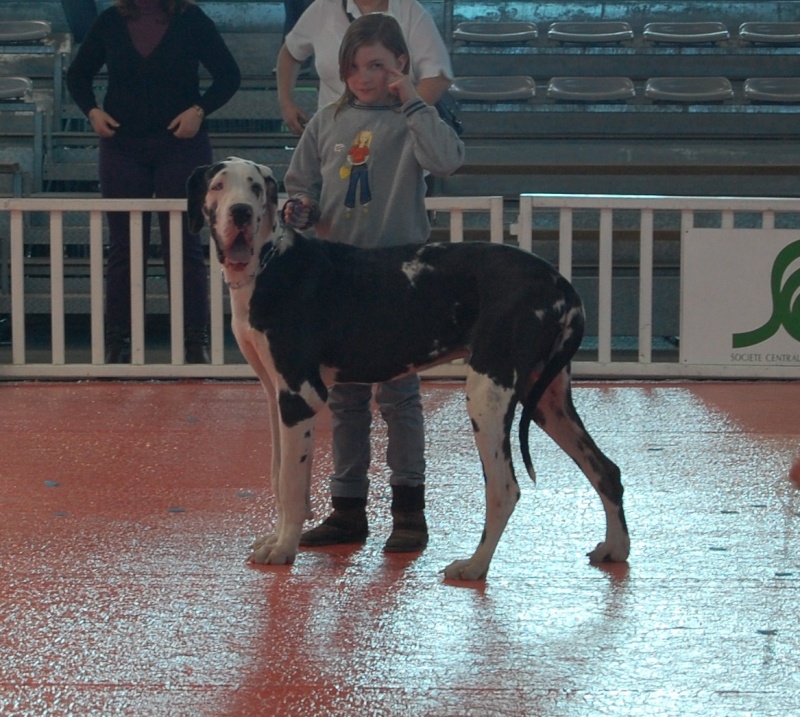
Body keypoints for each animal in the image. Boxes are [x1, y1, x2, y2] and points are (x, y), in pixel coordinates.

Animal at [188, 158, 632, 580]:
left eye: (255, 187)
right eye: (219, 185)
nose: (241, 212)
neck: (270, 263)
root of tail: (562, 285)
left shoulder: (300, 396)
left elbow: (291, 484)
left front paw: (284, 550)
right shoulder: (275, 396)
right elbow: (278, 474)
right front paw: (277, 538)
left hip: (488, 393)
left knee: (505, 488)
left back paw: (474, 566)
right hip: (547, 400)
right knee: (605, 469)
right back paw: (615, 548)